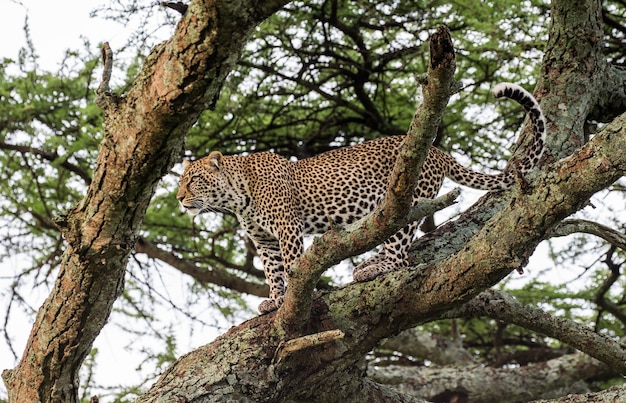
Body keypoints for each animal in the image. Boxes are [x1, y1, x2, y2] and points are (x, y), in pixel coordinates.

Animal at [174, 83, 540, 316]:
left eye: (193, 180)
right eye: (181, 181)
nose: (178, 199)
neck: (236, 197)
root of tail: (437, 150)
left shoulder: (288, 228)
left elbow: (291, 265)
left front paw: (293, 297)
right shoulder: (264, 240)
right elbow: (272, 272)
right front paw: (275, 301)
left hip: (406, 202)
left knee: (402, 258)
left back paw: (371, 268)